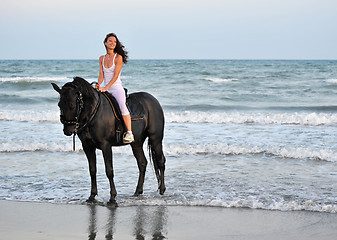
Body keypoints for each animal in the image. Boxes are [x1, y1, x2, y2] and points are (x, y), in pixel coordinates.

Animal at [51, 77, 165, 206]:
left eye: (71, 105)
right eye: (59, 104)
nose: (67, 130)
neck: (93, 113)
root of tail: (153, 100)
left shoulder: (106, 146)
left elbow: (109, 171)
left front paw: (112, 198)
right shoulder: (88, 146)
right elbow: (92, 170)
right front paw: (92, 196)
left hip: (156, 139)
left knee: (161, 161)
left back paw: (162, 190)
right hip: (136, 143)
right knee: (142, 163)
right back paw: (138, 191)